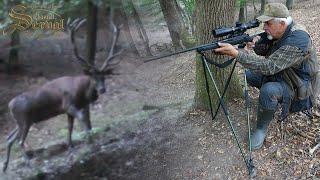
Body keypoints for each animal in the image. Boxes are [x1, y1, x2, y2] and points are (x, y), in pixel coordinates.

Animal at [2, 16, 122, 172]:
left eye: (104, 76)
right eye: (93, 77)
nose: (102, 90)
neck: (81, 93)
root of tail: (9, 105)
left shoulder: (71, 109)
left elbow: (71, 127)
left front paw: (70, 144)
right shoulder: (68, 105)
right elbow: (83, 118)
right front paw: (90, 140)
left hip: (20, 122)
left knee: (9, 138)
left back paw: (5, 165)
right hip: (25, 119)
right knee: (19, 141)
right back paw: (29, 161)